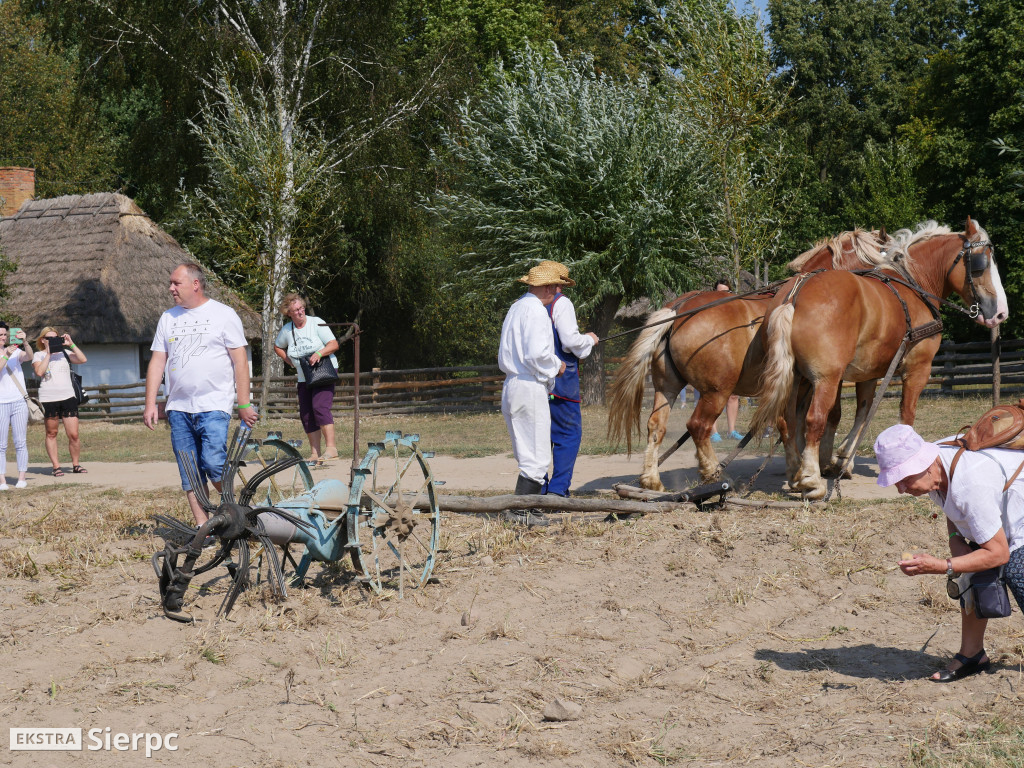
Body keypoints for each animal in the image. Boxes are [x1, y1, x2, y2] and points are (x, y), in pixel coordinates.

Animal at [606, 230, 897, 493]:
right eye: (881, 257)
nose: (889, 287)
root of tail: (679, 308)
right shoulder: (819, 381)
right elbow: (815, 421)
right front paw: (814, 469)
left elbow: (792, 425)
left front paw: (800, 469)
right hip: (716, 392)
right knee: (698, 427)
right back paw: (714, 474)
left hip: (667, 386)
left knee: (656, 425)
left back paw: (651, 479)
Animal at [749, 219, 1011, 501]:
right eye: (981, 264)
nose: (1000, 313)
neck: (914, 286)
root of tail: (795, 294)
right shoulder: (917, 369)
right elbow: (904, 413)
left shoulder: (868, 371)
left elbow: (863, 412)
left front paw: (842, 459)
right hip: (825, 378)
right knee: (814, 419)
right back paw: (811, 480)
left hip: (795, 377)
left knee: (786, 420)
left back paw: (796, 473)